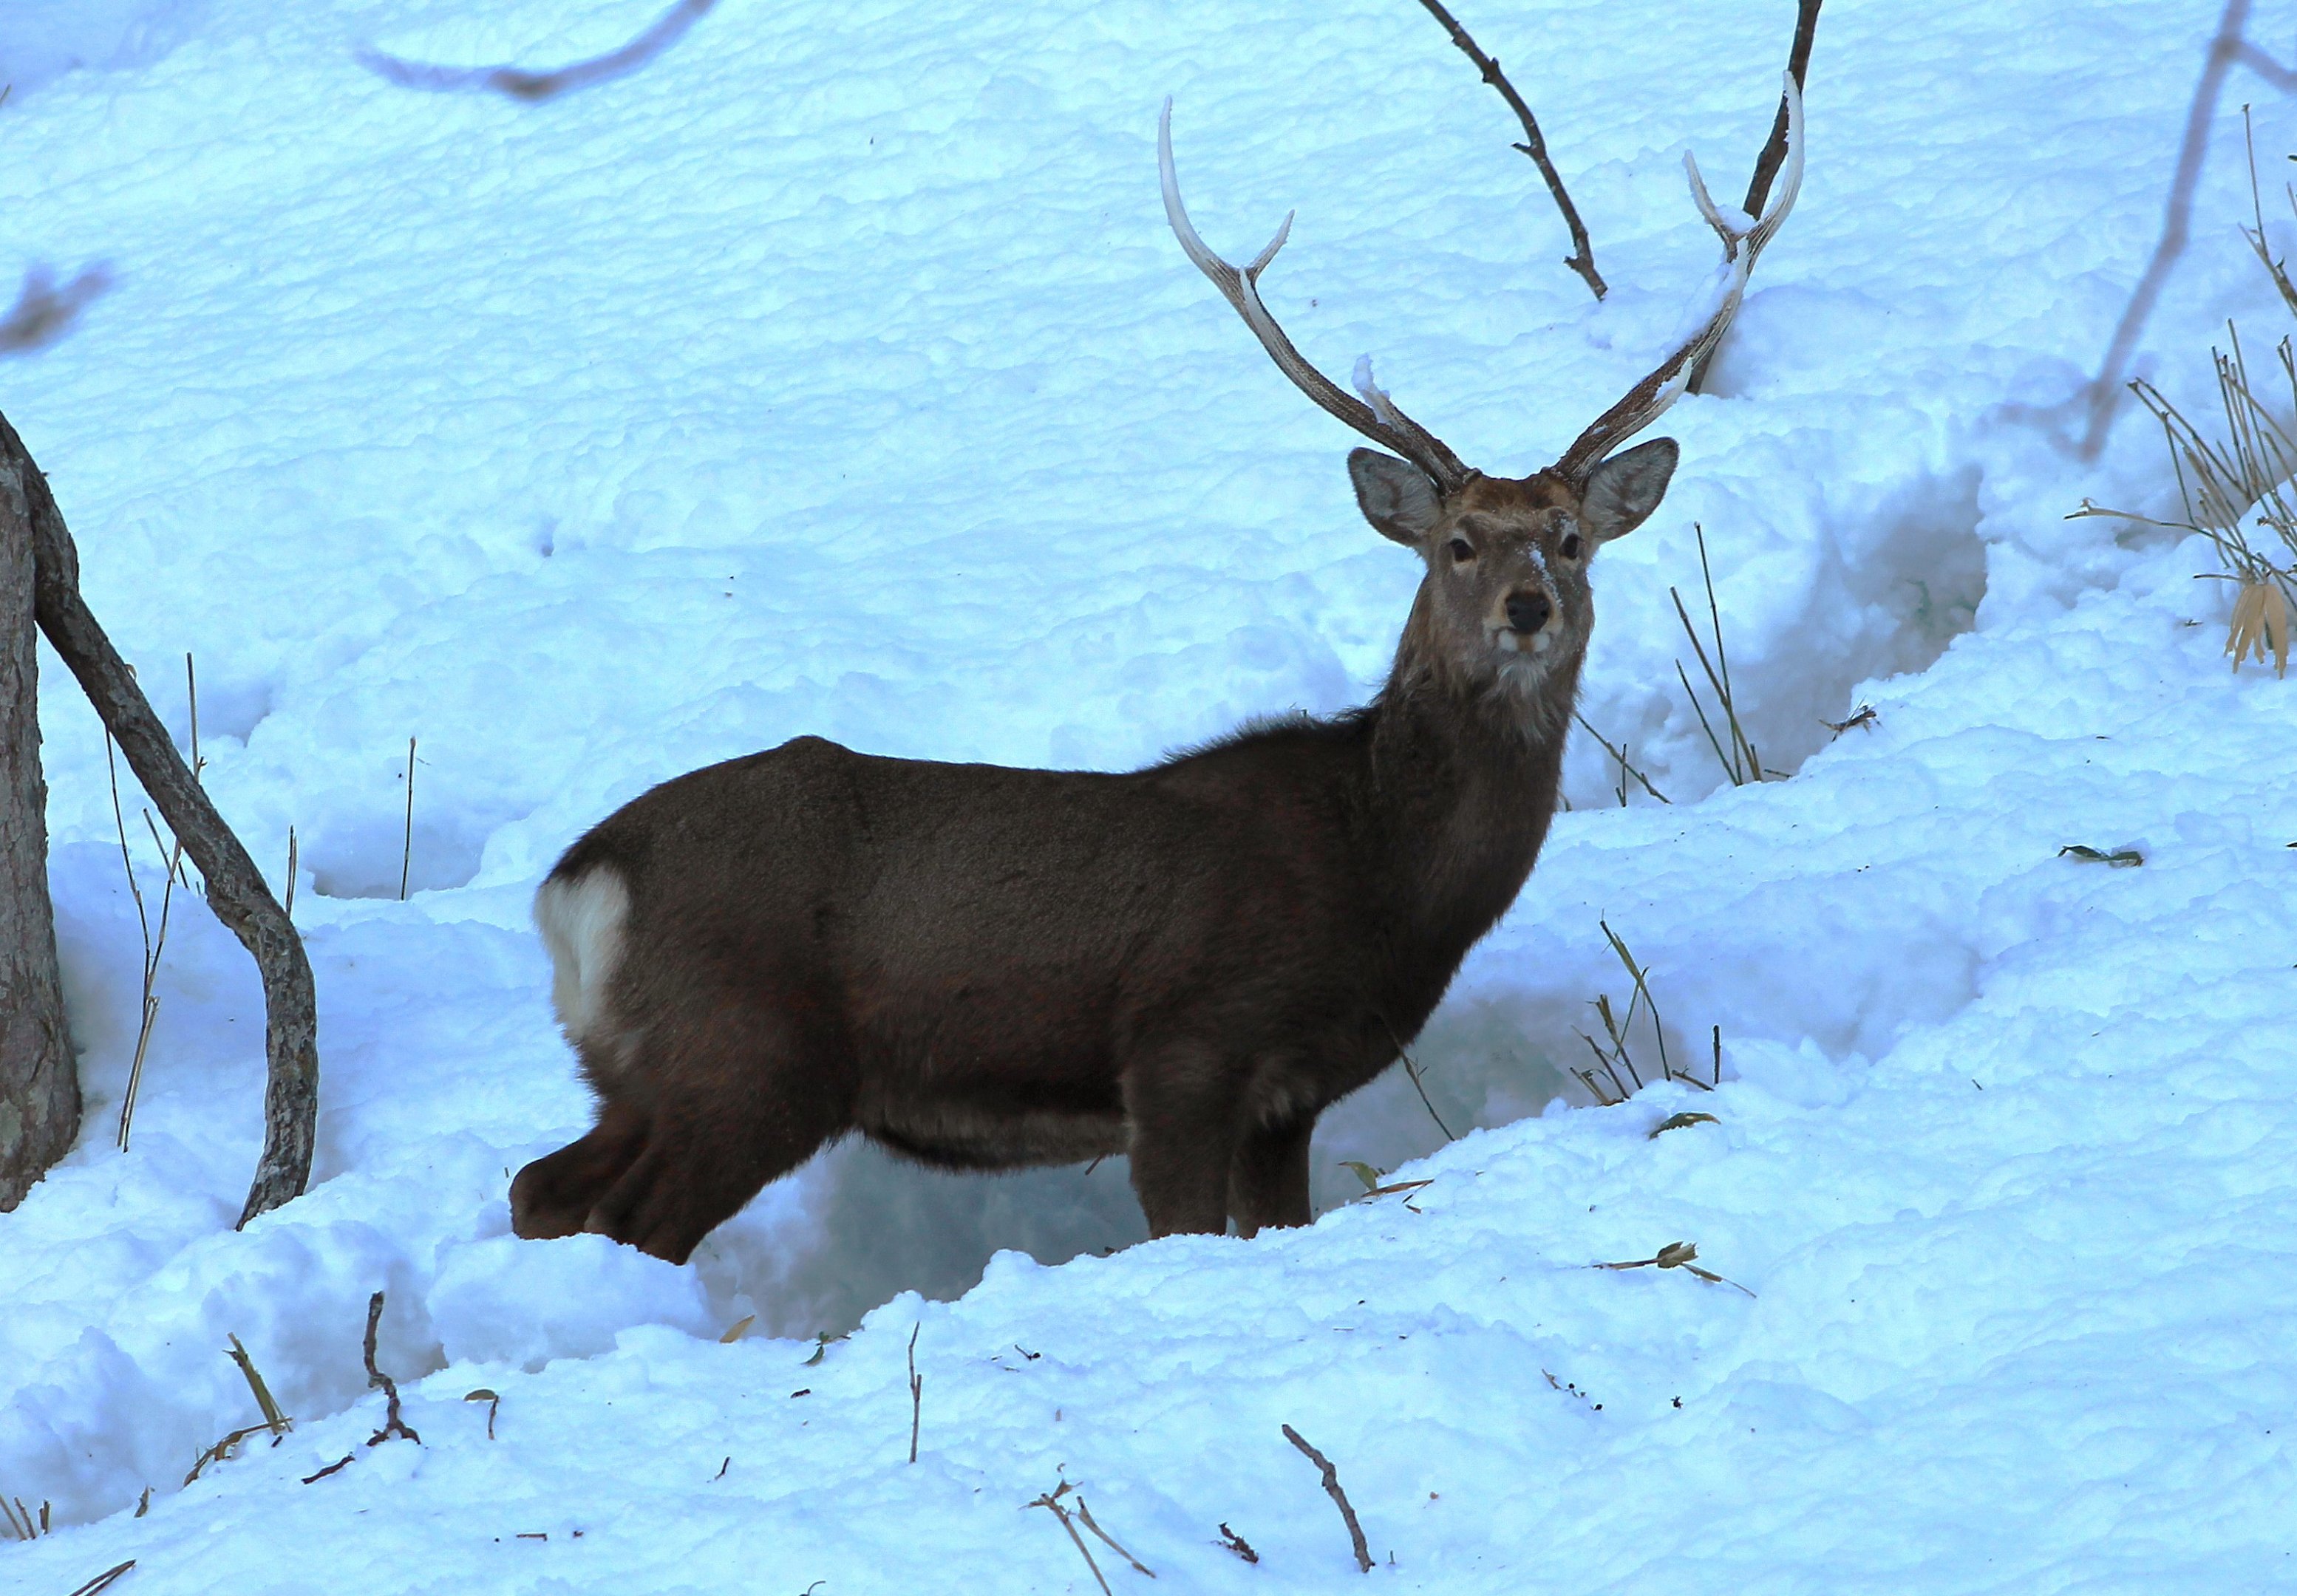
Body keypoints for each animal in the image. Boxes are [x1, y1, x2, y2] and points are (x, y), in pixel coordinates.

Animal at [509, 83, 1804, 1265]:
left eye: (1572, 539)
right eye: (1459, 543)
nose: (1528, 607)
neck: (1376, 874)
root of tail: (580, 882)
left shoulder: (1289, 1100)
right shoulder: (1184, 1049)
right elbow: (1186, 1222)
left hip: (644, 1073)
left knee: (542, 1188)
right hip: (747, 1053)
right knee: (631, 1218)